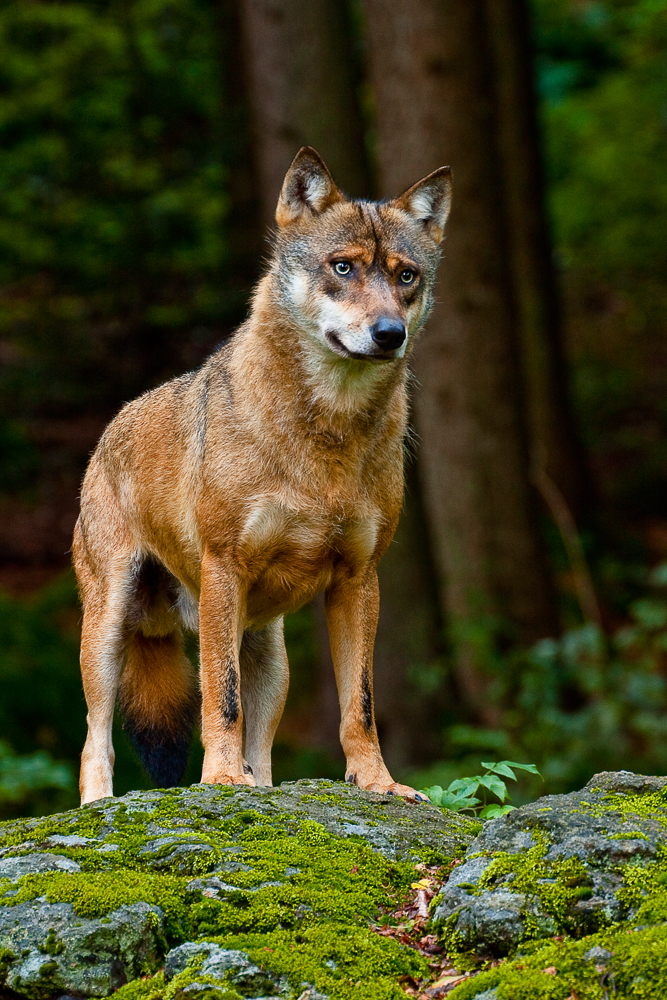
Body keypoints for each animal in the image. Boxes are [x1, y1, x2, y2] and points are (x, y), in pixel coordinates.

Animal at [73, 146, 452, 804]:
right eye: (343, 267)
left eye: (406, 276)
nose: (389, 334)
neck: (329, 434)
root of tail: (109, 430)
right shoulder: (224, 568)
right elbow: (219, 702)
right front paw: (221, 782)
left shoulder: (360, 580)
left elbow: (360, 707)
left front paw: (379, 785)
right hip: (109, 632)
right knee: (94, 741)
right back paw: (100, 805)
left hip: (271, 656)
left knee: (265, 750)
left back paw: (262, 784)